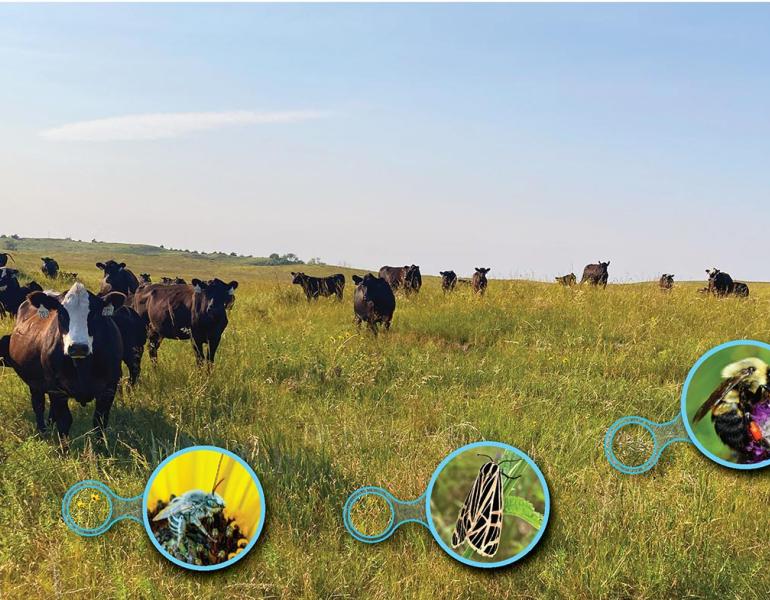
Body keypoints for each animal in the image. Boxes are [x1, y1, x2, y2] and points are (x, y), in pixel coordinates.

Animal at [1, 282, 125, 437]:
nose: (78, 347)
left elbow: (99, 421)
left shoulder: (109, 388)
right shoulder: (56, 389)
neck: (82, 366)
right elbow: (64, 421)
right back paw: (43, 432)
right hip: (35, 384)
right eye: (61, 313)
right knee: (38, 405)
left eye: (95, 314)